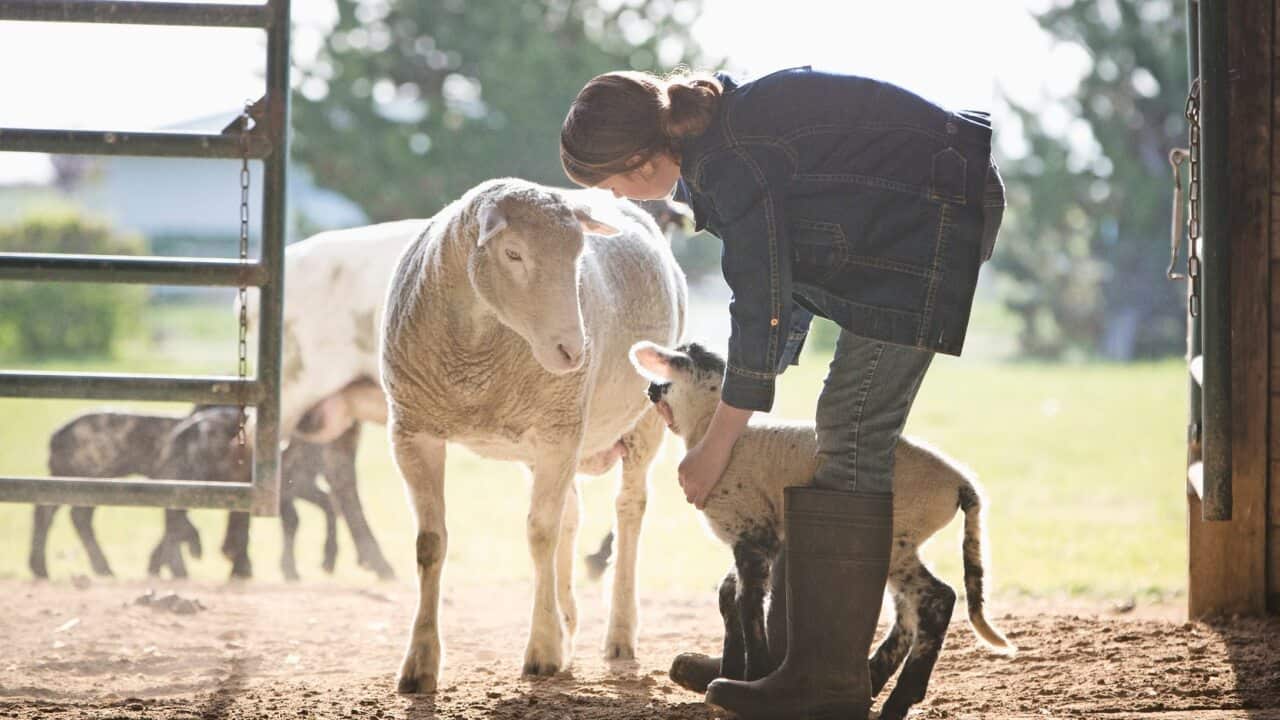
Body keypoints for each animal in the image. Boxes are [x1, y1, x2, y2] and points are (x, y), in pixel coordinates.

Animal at [380, 178, 687, 692]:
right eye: (513, 253)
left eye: (579, 255)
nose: (573, 351)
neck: (477, 348)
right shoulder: (413, 431)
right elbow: (430, 543)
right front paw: (420, 663)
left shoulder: (557, 431)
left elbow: (540, 534)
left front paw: (543, 650)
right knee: (572, 514)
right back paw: (569, 621)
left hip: (638, 420)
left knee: (628, 511)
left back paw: (619, 633)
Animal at [629, 341, 1013, 720]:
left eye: (664, 377)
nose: (648, 389)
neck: (711, 430)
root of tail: (961, 483)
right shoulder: (760, 537)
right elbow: (727, 596)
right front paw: (729, 669)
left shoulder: (753, 530)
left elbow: (747, 603)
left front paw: (749, 677)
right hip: (903, 542)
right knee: (908, 611)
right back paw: (873, 680)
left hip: (899, 534)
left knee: (938, 598)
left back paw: (896, 701)